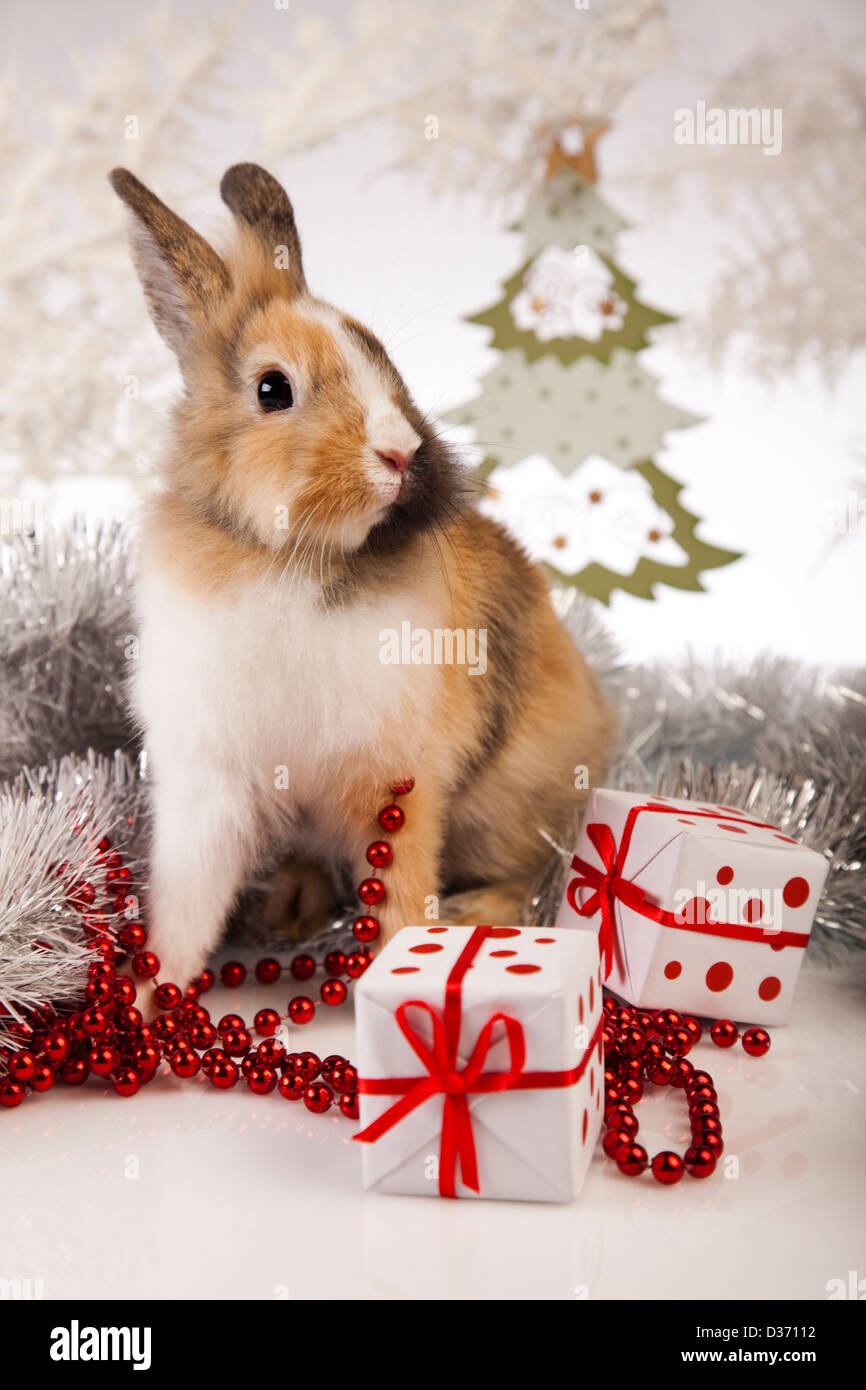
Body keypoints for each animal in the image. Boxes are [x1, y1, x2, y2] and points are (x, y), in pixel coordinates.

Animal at [109, 162, 615, 998]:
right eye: (272, 389)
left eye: (384, 361)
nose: (400, 453)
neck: (289, 556)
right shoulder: (208, 786)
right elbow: (185, 905)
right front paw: (154, 998)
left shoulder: (397, 787)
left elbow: (401, 894)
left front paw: (407, 969)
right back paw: (287, 907)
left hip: (507, 806)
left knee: (532, 872)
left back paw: (474, 915)